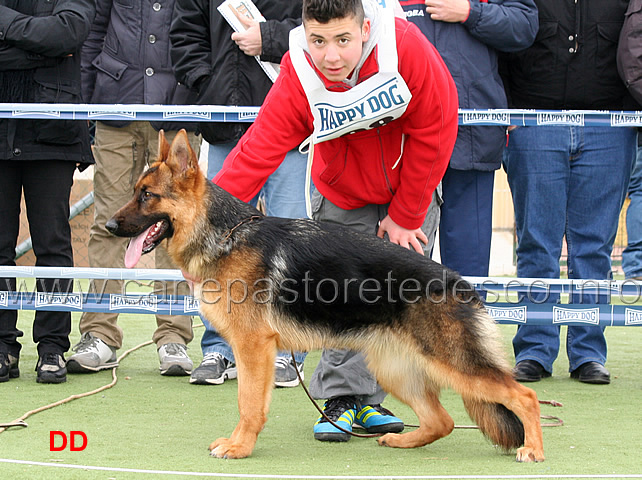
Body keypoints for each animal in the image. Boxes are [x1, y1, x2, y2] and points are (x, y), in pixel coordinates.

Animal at [107, 130, 544, 462]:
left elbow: (248, 404)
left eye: (147, 196)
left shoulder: (253, 349)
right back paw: (403, 440)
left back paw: (534, 451)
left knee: (523, 396)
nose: (110, 225)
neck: (226, 235)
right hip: (396, 369)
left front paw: (240, 447)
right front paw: (239, 443)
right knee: (443, 421)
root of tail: (459, 283)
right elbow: (249, 402)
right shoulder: (253, 351)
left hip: (454, 365)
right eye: (136, 191)